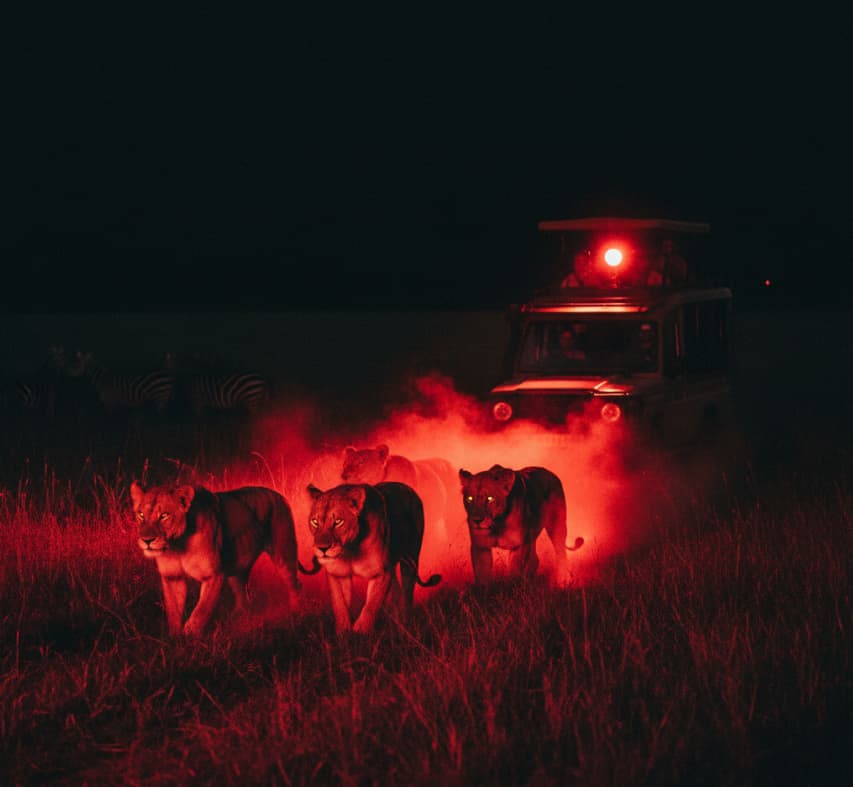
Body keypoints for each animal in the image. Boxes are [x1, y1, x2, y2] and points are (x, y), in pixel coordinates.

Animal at [130, 481, 320, 636]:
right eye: (140, 515)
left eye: (164, 516)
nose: (146, 540)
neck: (177, 546)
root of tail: (279, 495)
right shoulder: (172, 577)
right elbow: (173, 611)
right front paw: (175, 639)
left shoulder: (214, 575)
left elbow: (201, 611)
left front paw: (190, 635)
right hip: (238, 568)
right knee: (244, 597)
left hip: (284, 555)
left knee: (295, 585)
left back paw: (296, 614)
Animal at [306, 481, 442, 634]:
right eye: (315, 522)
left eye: (338, 522)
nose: (322, 548)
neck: (350, 549)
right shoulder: (337, 574)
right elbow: (339, 604)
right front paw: (343, 632)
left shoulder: (381, 572)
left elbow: (372, 604)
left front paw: (361, 631)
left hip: (410, 560)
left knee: (407, 592)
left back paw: (404, 623)